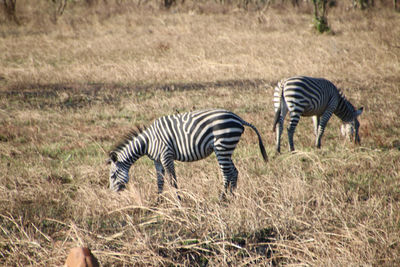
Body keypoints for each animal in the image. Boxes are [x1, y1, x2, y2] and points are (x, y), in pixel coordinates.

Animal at [108, 109, 268, 199]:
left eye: (113, 176)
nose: (113, 195)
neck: (148, 142)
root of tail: (238, 118)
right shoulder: (157, 160)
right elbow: (160, 181)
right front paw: (157, 202)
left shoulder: (166, 155)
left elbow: (172, 180)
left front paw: (179, 201)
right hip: (226, 149)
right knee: (234, 171)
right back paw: (232, 197)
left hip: (222, 146)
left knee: (227, 173)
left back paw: (222, 199)